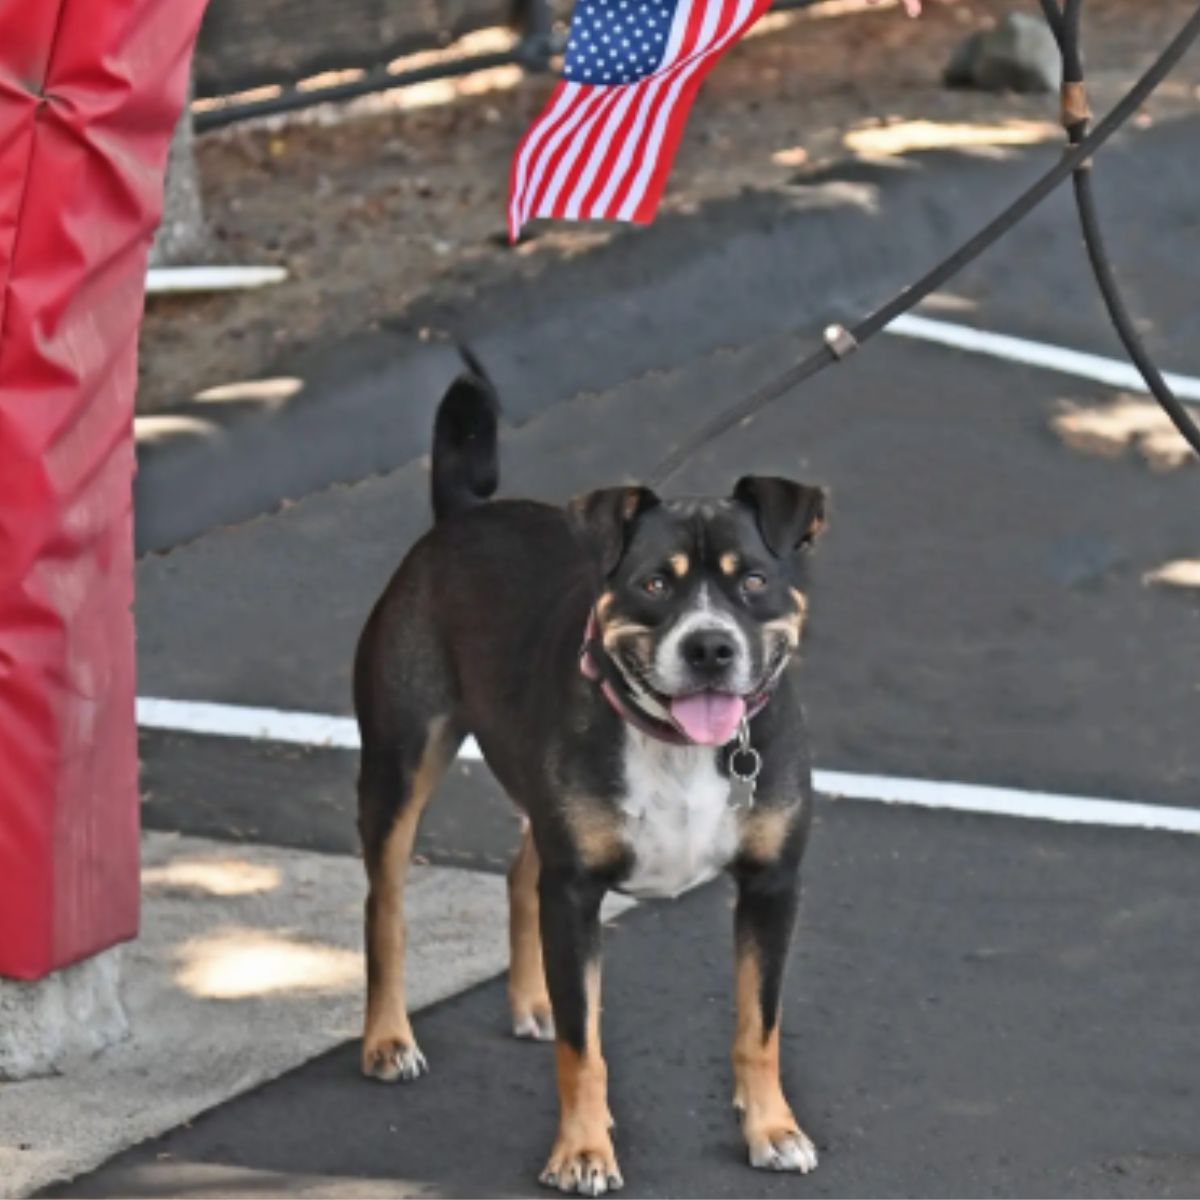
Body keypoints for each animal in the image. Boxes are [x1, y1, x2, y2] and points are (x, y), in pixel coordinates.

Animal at [350, 364, 830, 1190]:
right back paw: (387, 1039)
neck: (675, 743)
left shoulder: (772, 886)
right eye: (656, 585)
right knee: (385, 903)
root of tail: (462, 515)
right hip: (400, 758)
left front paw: (772, 1128)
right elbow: (586, 1050)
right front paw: (580, 1151)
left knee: (519, 873)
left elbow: (757, 1026)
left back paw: (534, 1000)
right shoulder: (576, 894)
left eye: (754, 581)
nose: (710, 648)